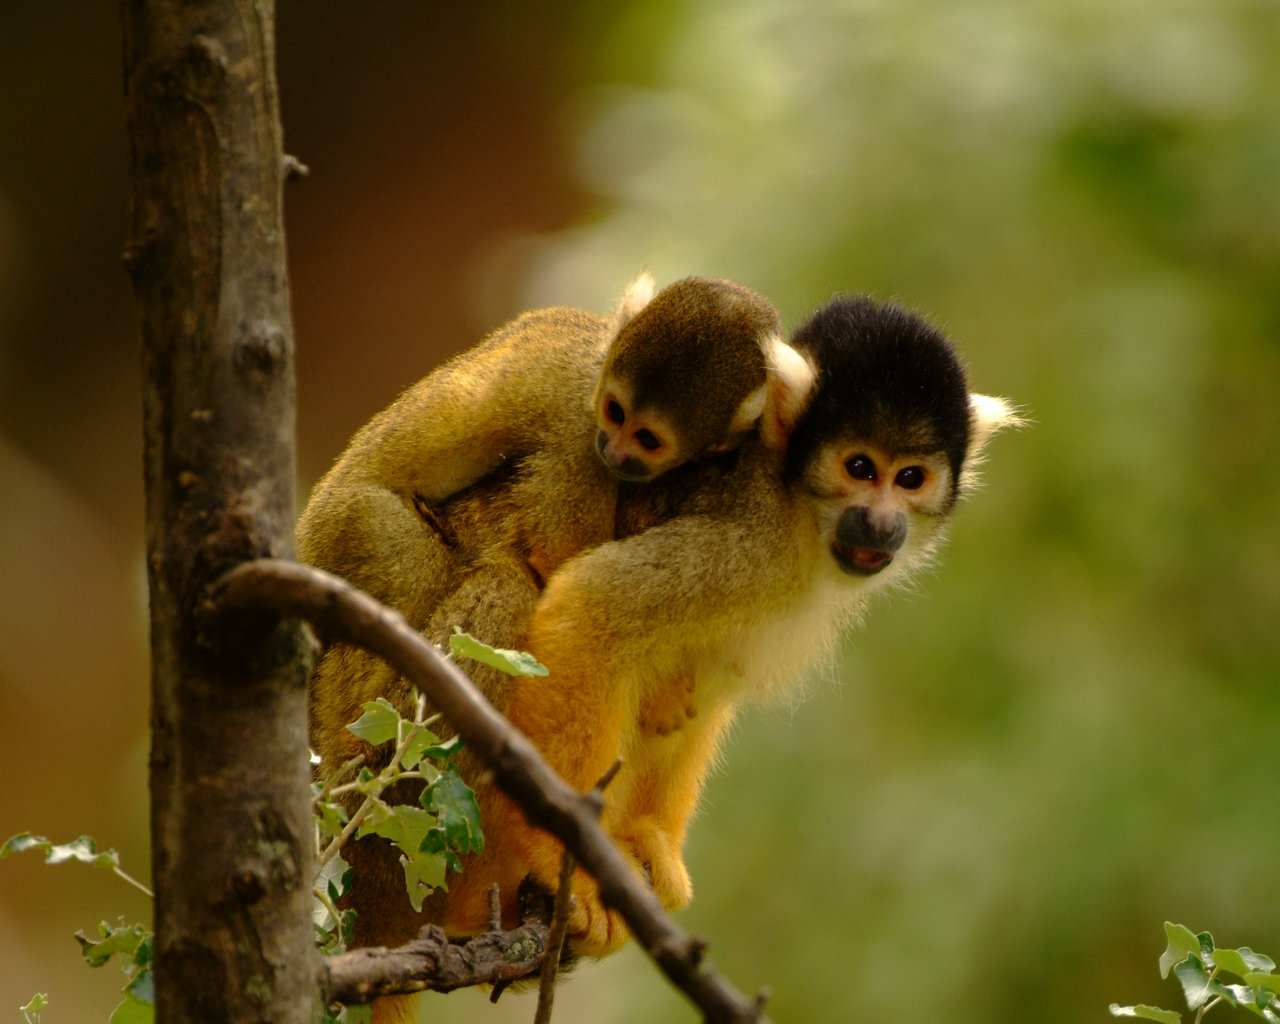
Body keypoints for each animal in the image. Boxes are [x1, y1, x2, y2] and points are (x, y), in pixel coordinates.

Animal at [448, 291, 1018, 957]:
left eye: (909, 478)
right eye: (859, 467)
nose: (881, 524)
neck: (797, 509)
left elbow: (696, 690)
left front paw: (648, 841)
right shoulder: (749, 543)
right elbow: (592, 606)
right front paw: (559, 852)